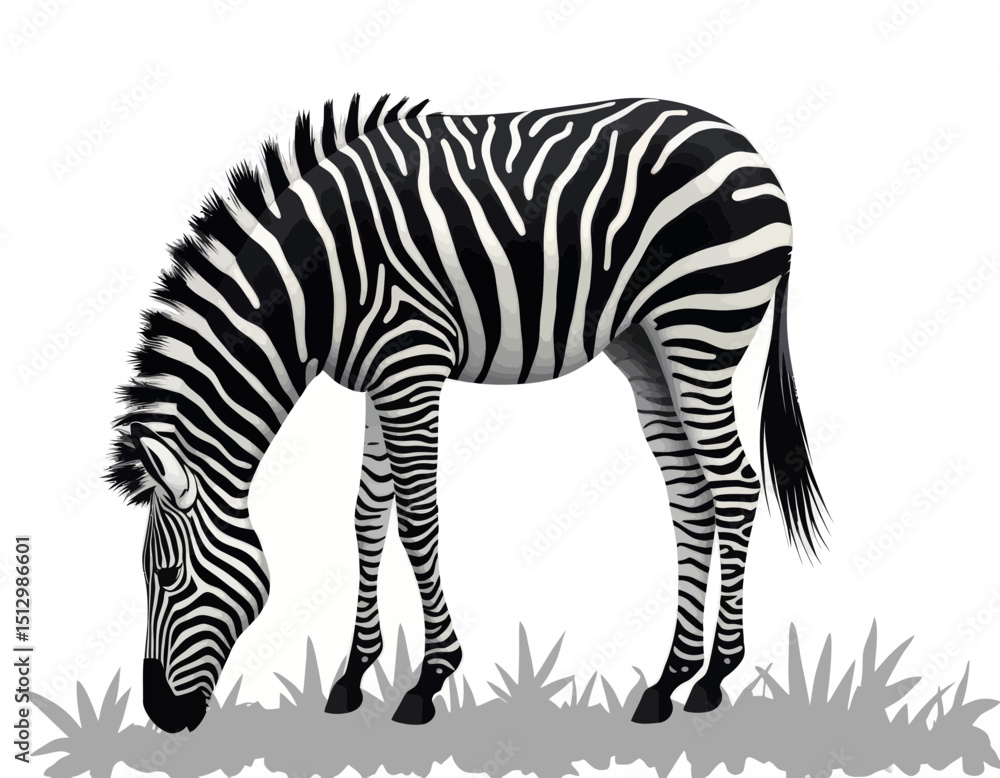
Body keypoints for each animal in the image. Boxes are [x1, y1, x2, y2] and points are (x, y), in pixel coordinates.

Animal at [106, 94, 829, 732]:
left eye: (165, 575)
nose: (161, 716)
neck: (321, 284)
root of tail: (745, 145)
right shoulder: (380, 376)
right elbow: (367, 515)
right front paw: (352, 675)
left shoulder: (411, 361)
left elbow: (417, 519)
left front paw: (428, 680)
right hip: (646, 344)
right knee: (691, 496)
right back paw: (669, 679)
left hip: (699, 326)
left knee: (734, 486)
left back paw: (713, 677)